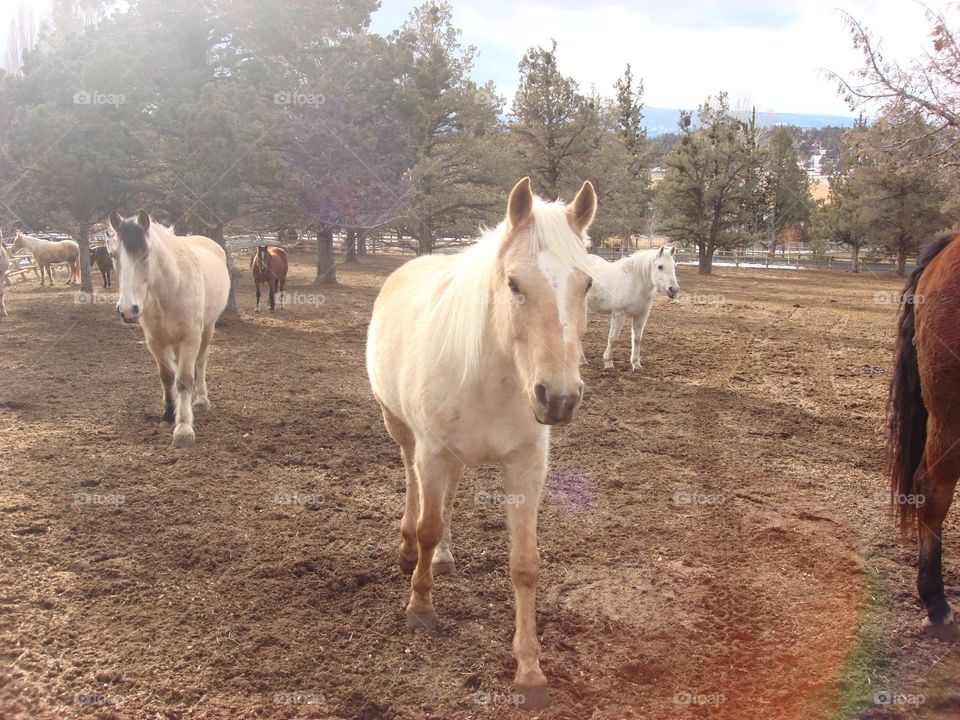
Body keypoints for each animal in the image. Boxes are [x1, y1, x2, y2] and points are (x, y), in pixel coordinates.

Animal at [108, 210, 230, 448]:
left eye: (145, 255)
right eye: (114, 255)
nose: (127, 309)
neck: (171, 288)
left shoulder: (189, 339)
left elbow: (183, 380)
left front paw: (183, 429)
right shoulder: (156, 341)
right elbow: (167, 377)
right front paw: (168, 415)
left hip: (207, 329)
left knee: (200, 363)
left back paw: (200, 400)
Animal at [366, 177, 597, 708]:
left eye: (588, 284)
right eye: (513, 284)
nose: (559, 398)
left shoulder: (526, 465)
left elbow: (525, 563)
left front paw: (530, 670)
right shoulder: (432, 451)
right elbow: (429, 525)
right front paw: (420, 606)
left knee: (446, 500)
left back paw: (444, 559)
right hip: (403, 431)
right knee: (413, 487)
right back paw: (410, 549)